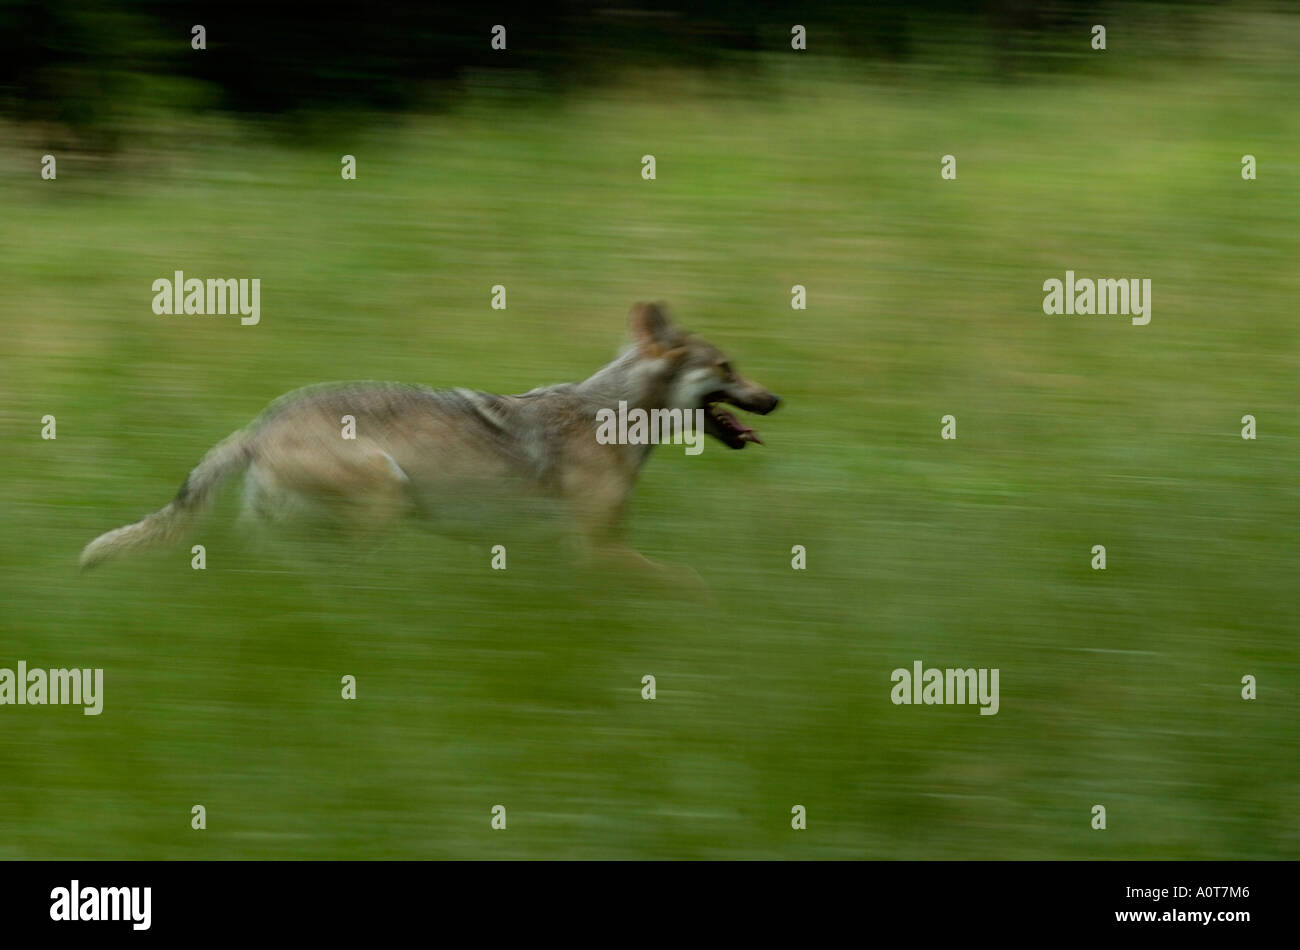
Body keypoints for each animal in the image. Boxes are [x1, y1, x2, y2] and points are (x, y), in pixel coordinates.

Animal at [79, 303, 780, 575]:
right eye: (728, 367)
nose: (776, 399)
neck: (612, 415)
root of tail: (258, 426)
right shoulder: (596, 551)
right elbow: (689, 583)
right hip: (386, 496)